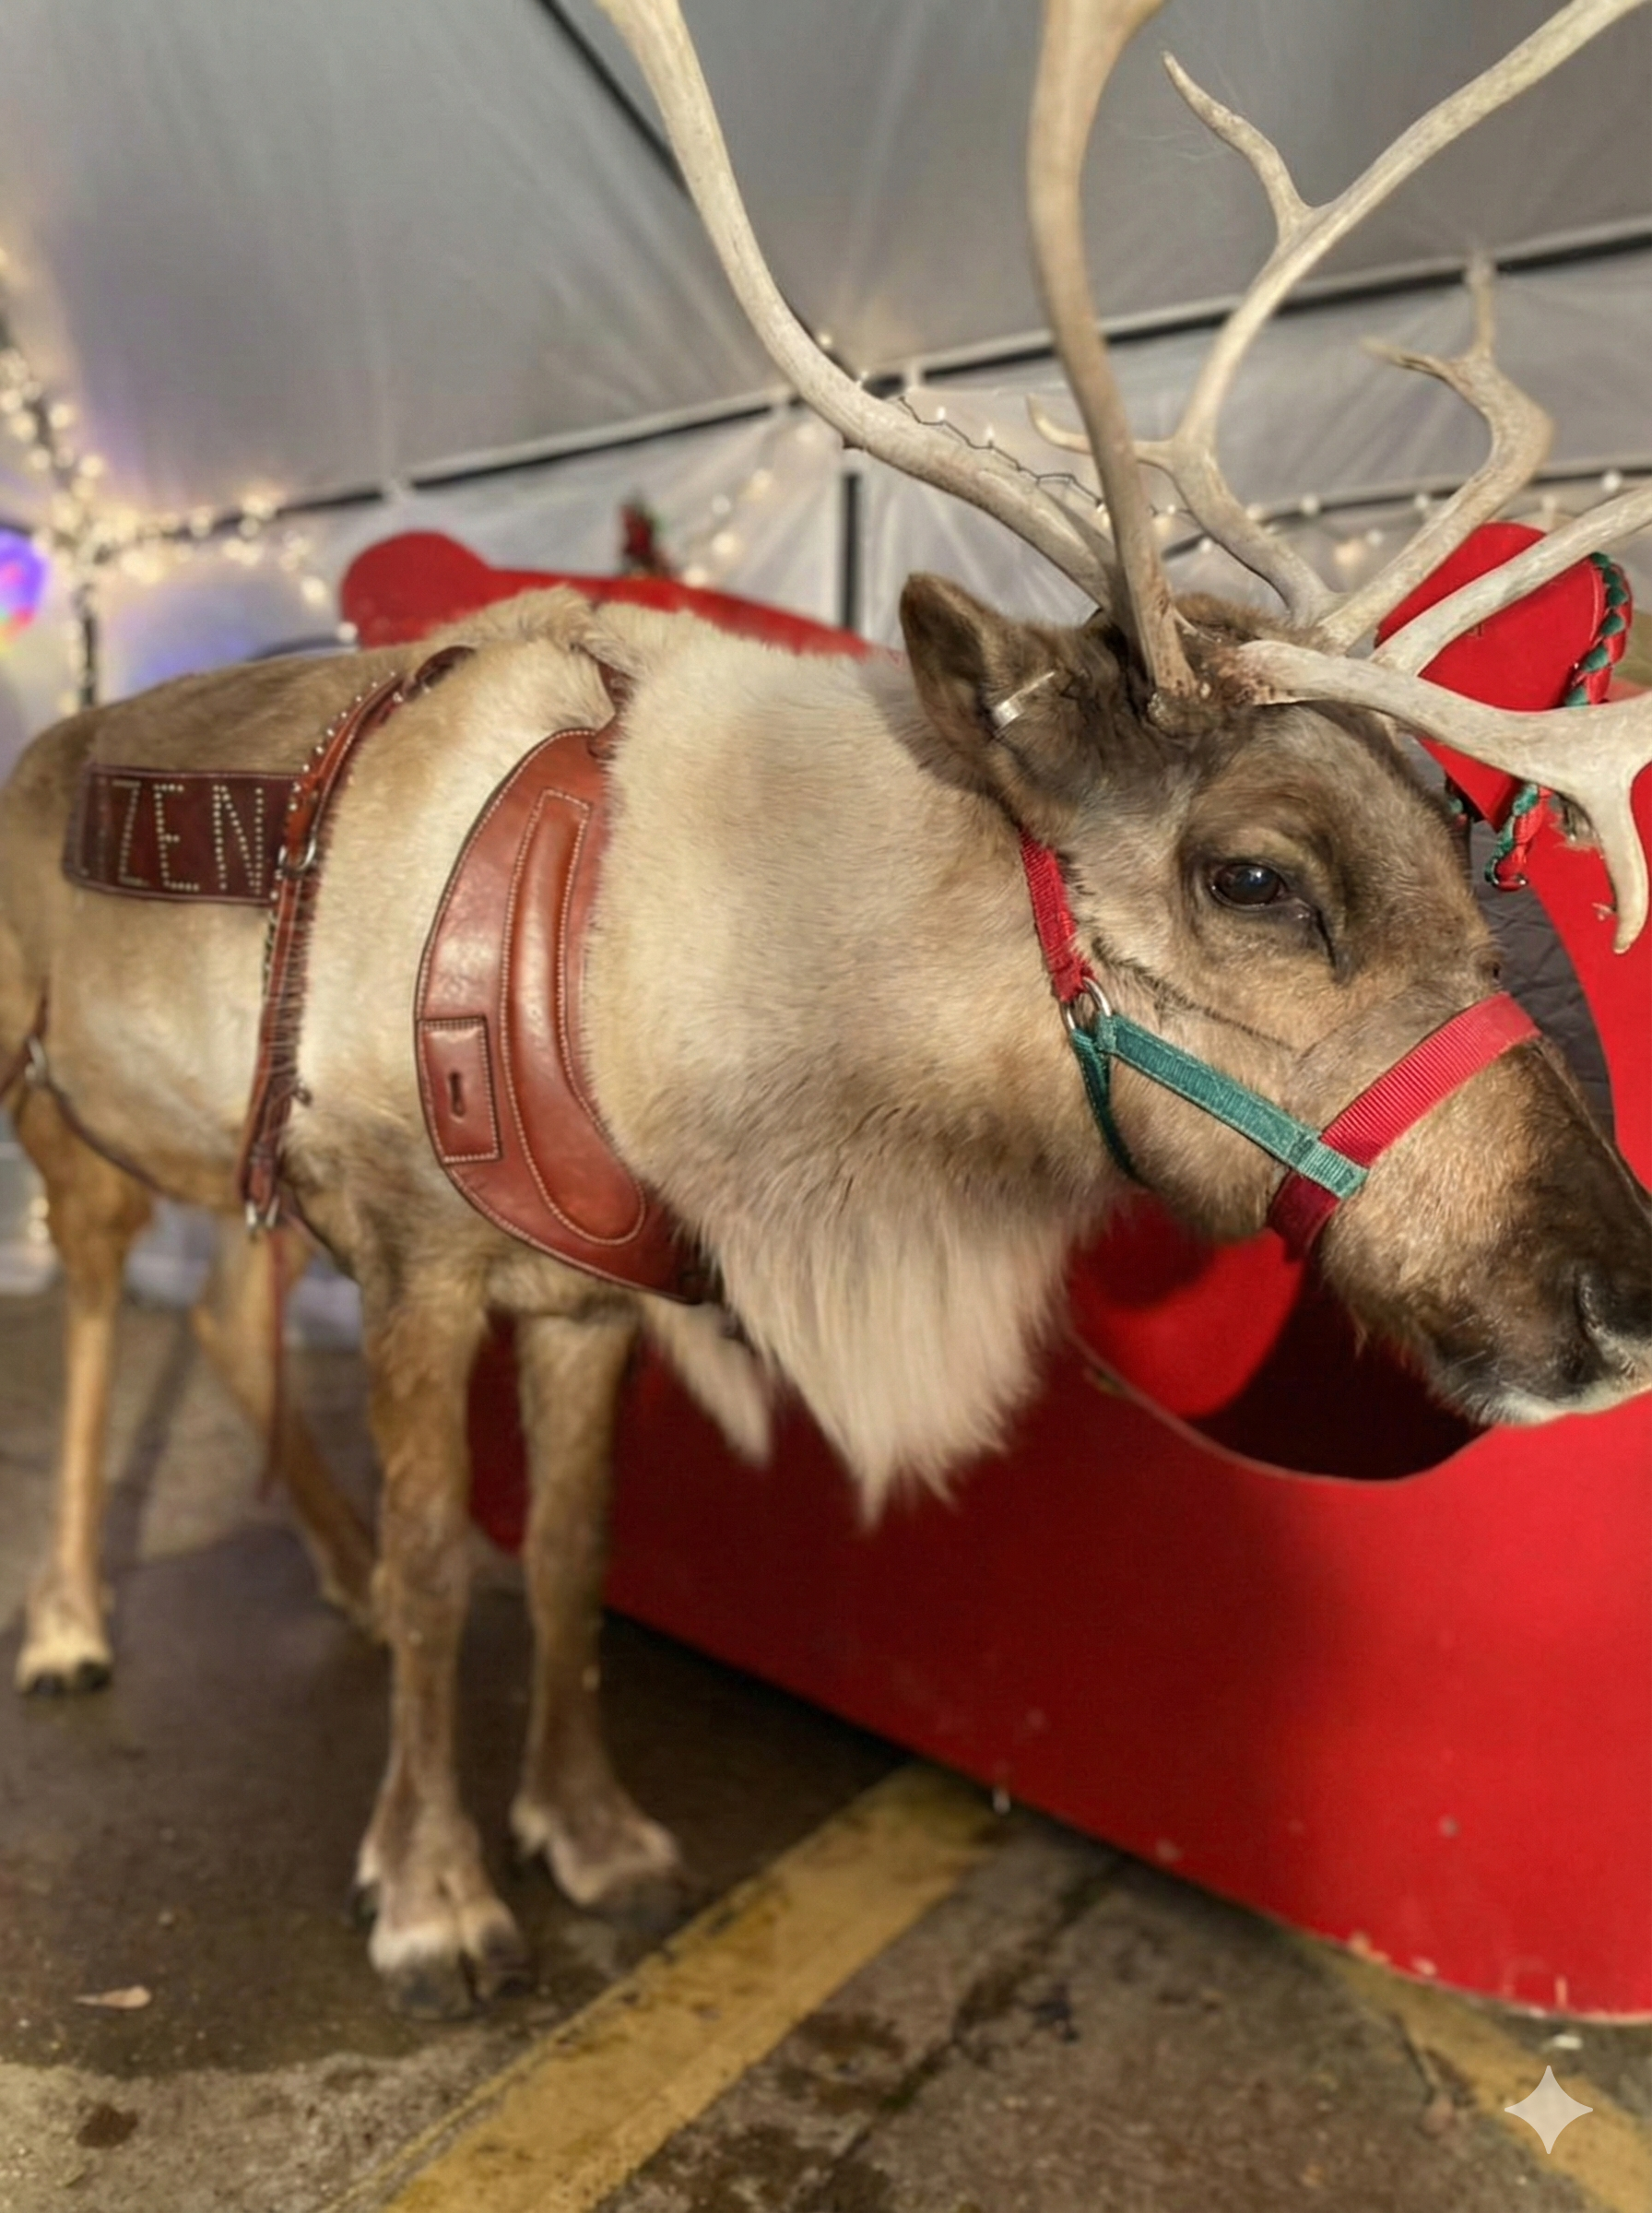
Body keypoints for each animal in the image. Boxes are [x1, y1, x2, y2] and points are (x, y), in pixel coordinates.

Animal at [1, 0, 1649, 2020]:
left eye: (1457, 840)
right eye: (1257, 878)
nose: (1625, 1295)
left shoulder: (581, 1293)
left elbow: (565, 1555)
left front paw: (592, 1834)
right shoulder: (411, 1252)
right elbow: (446, 1561)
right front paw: (433, 1895)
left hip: (244, 1180)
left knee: (230, 1328)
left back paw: (307, 1573)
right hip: (56, 1118)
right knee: (98, 1315)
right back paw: (70, 1622)